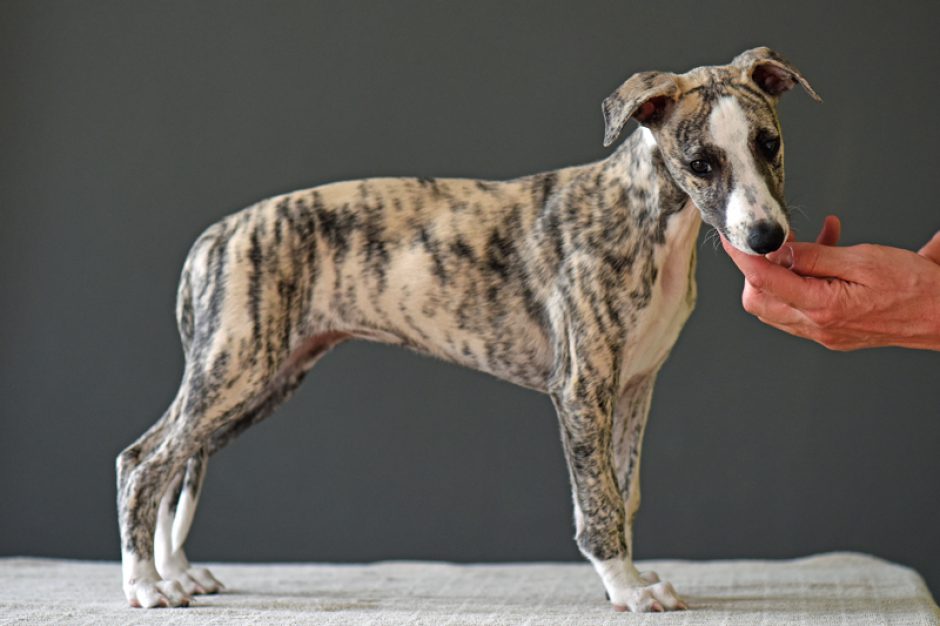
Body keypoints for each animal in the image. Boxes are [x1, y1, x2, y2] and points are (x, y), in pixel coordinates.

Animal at [117, 47, 820, 608]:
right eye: (700, 163)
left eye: (769, 143)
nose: (767, 238)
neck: (643, 217)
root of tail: (218, 234)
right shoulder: (581, 388)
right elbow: (598, 500)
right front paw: (626, 590)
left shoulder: (633, 388)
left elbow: (626, 491)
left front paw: (635, 576)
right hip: (236, 368)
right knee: (144, 462)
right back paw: (147, 586)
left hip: (260, 379)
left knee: (179, 458)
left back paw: (177, 573)